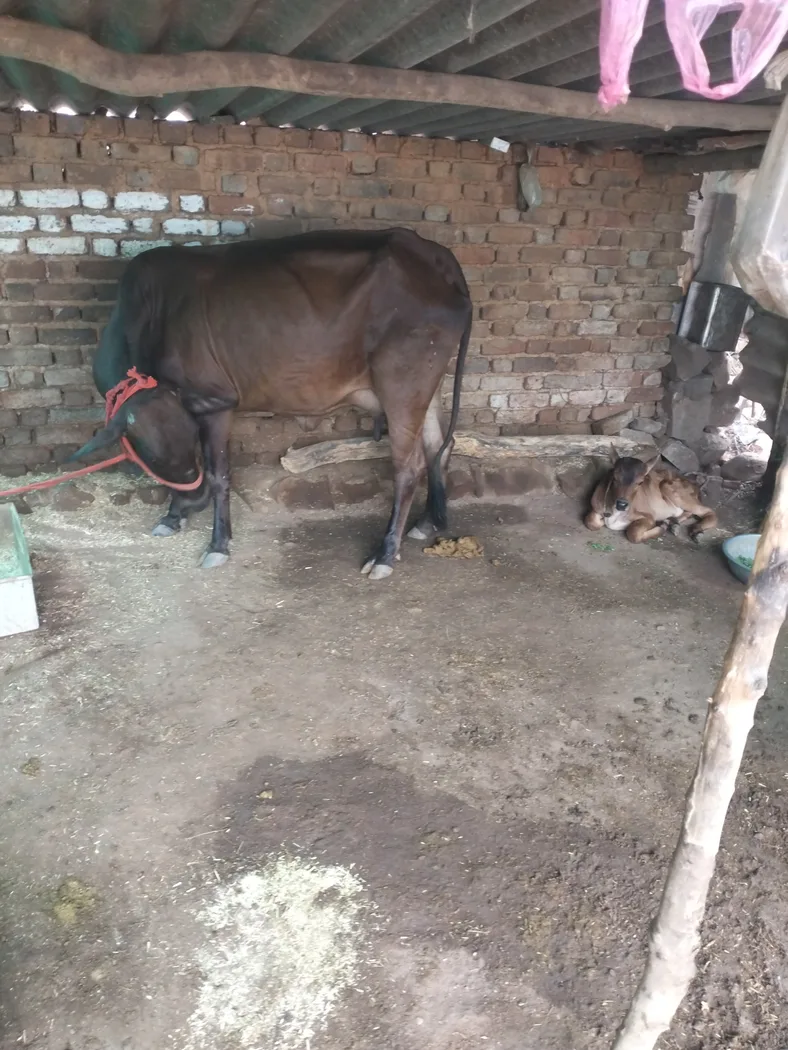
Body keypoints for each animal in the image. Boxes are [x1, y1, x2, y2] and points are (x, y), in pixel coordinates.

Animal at [70, 228, 473, 577]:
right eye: (154, 455)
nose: (193, 496)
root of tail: (431, 252)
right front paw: (176, 514)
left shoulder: (215, 402)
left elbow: (219, 474)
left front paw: (216, 543)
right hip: (428, 384)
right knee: (440, 444)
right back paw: (427, 523)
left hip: (403, 381)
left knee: (409, 466)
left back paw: (385, 554)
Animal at [585, 448, 718, 542]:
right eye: (615, 478)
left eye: (640, 482)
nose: (622, 504)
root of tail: (695, 485)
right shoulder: (595, 507)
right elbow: (590, 522)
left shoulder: (649, 516)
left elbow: (634, 533)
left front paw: (661, 528)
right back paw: (673, 523)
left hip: (671, 488)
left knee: (708, 511)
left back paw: (696, 529)